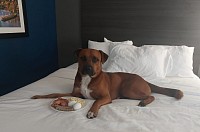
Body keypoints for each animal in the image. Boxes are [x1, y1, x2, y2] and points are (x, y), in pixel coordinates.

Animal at [32, 48, 184, 118]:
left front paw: (92, 112)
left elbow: (96, 101)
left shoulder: (105, 97)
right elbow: (53, 93)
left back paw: (144, 102)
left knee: (151, 95)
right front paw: (38, 96)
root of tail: (144, 79)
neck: (88, 78)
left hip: (129, 89)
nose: (88, 68)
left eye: (96, 59)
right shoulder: (75, 94)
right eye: (82, 58)